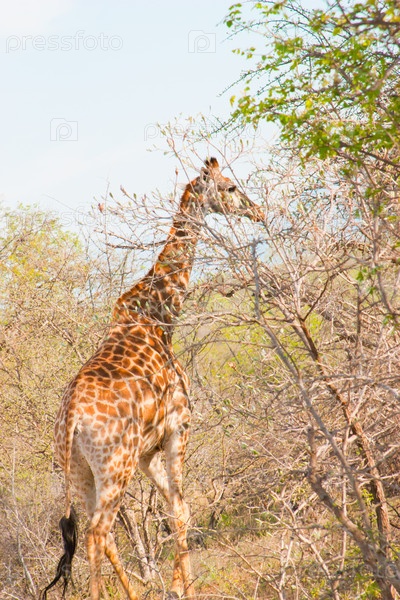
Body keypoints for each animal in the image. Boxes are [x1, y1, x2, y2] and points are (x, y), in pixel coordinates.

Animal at [41, 157, 264, 600]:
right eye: (230, 187)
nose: (258, 211)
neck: (160, 315)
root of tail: (70, 421)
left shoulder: (148, 451)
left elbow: (180, 507)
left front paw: (178, 585)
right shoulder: (180, 425)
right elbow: (180, 508)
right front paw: (185, 588)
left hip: (80, 472)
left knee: (103, 534)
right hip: (115, 467)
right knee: (98, 533)